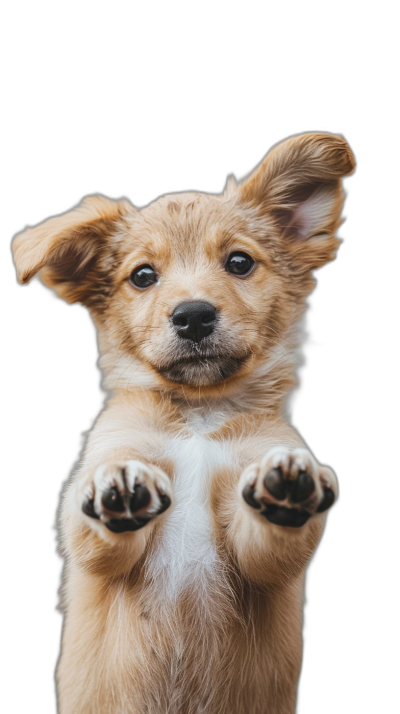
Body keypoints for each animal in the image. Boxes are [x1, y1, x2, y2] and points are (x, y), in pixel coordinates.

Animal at [12, 131, 354, 708]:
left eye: (239, 262)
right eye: (143, 275)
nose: (193, 316)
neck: (199, 418)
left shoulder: (265, 560)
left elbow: (273, 538)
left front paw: (288, 481)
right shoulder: (89, 529)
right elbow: (97, 520)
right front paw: (119, 481)